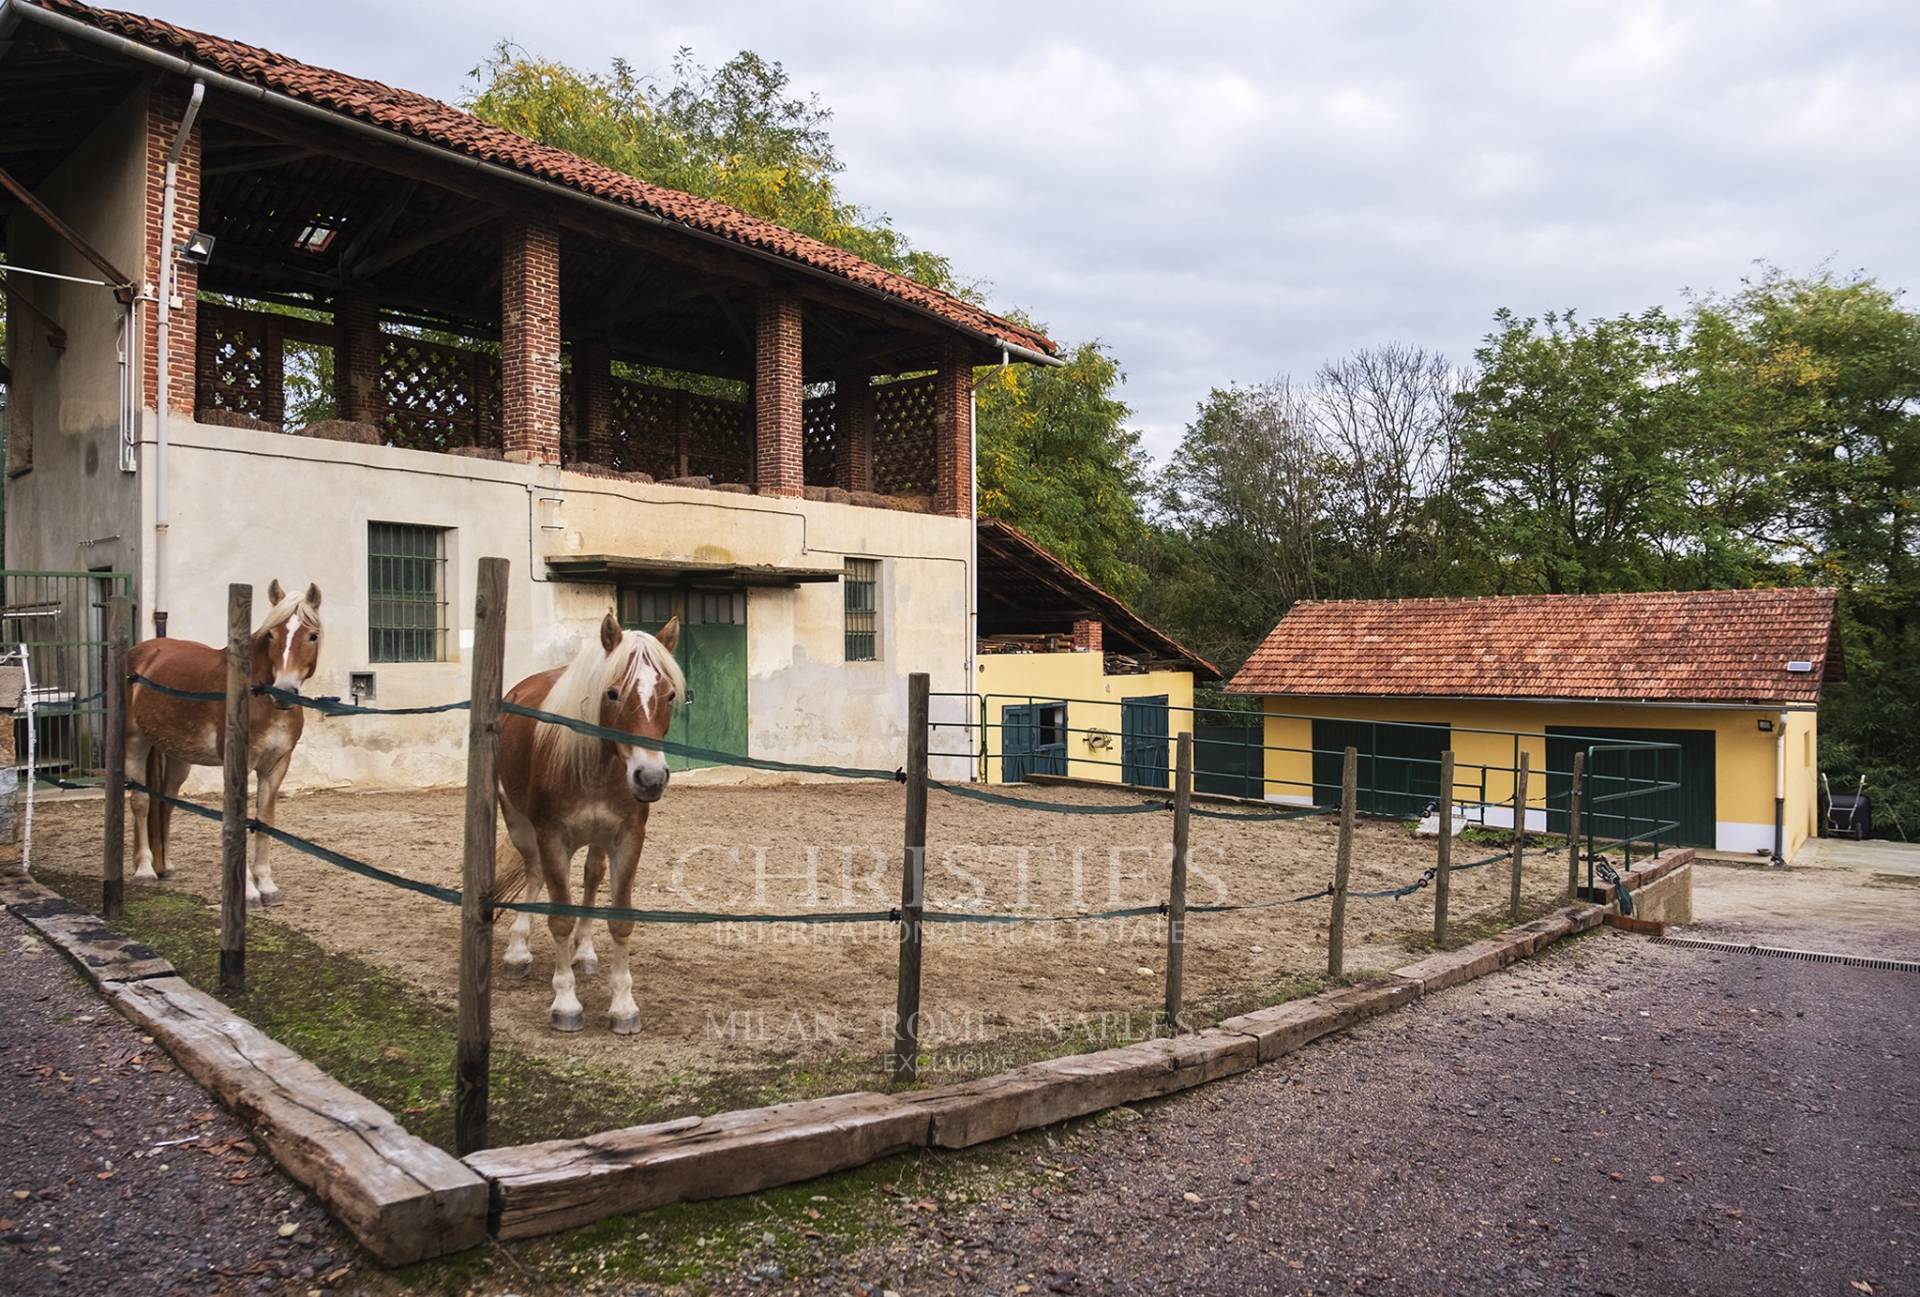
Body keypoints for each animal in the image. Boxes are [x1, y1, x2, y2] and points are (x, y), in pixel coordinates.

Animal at [126, 583, 326, 905]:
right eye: (272, 635)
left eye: (312, 636)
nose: (283, 691)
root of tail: (143, 652)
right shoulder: (238, 766)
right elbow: (239, 821)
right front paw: (248, 891)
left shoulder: (276, 766)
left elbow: (265, 820)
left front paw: (267, 885)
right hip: (135, 741)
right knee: (140, 800)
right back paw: (144, 869)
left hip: (178, 756)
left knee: (165, 801)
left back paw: (164, 866)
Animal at [495, 610, 683, 1036]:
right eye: (612, 693)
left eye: (669, 695)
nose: (650, 778)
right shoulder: (550, 835)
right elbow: (560, 918)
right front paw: (565, 1003)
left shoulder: (628, 837)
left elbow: (619, 918)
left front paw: (624, 1006)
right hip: (518, 822)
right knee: (534, 873)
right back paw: (518, 951)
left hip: (597, 838)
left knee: (592, 876)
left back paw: (584, 953)